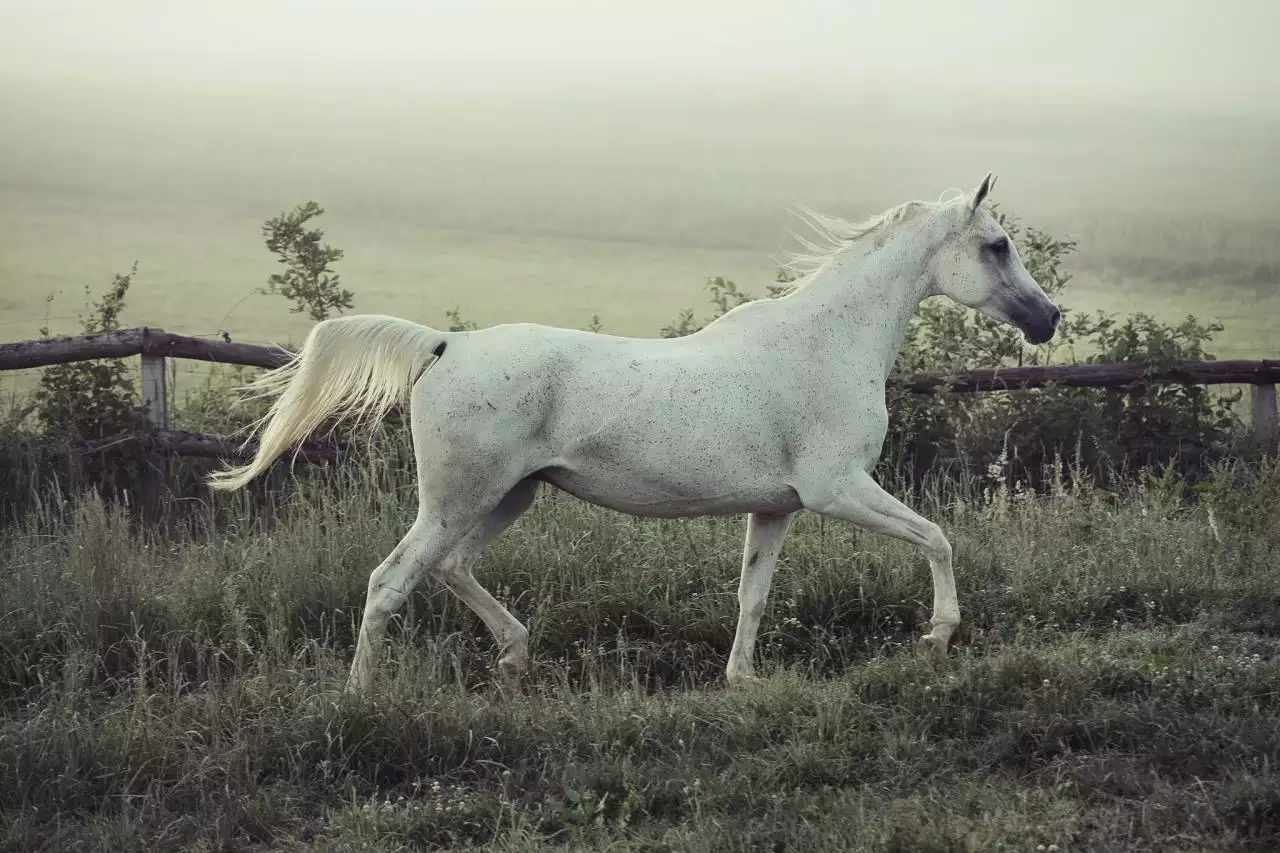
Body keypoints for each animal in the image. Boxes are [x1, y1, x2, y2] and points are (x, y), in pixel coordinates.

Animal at [207, 172, 1059, 691]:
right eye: (996, 245)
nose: (1048, 319)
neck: (828, 340)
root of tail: (446, 344)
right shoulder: (839, 488)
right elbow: (937, 537)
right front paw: (938, 637)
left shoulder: (776, 506)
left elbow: (754, 594)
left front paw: (741, 679)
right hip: (457, 499)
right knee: (391, 580)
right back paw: (364, 694)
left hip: (510, 496)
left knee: (450, 568)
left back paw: (515, 654)